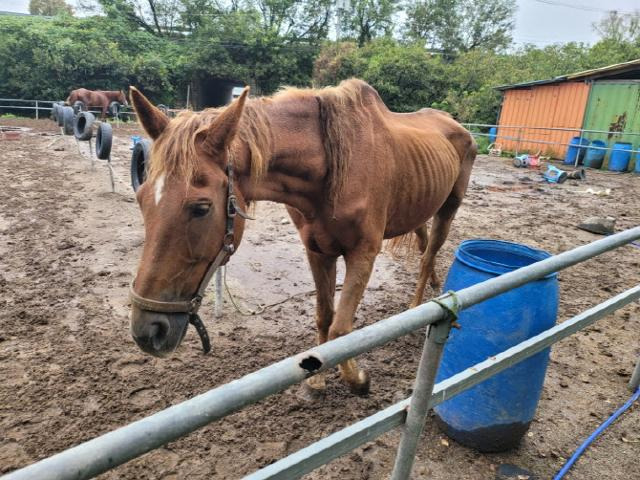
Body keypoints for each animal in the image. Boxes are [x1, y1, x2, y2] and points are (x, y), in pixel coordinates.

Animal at [127, 78, 476, 394]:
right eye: (141, 199)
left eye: (201, 208)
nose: (148, 331)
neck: (334, 169)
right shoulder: (318, 251)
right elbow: (324, 317)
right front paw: (318, 377)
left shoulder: (363, 253)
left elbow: (341, 329)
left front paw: (357, 379)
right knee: (424, 246)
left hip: (449, 208)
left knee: (428, 254)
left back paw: (417, 306)